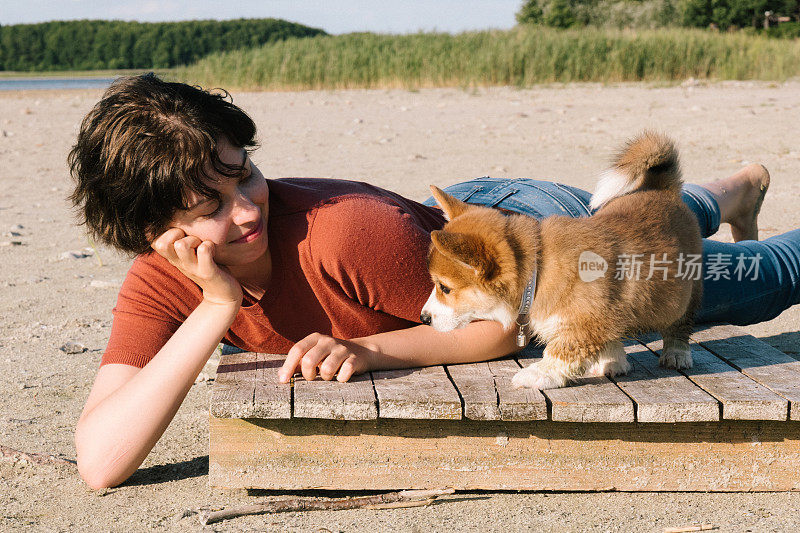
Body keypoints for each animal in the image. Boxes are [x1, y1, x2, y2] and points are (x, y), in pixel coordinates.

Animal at [422, 132, 704, 390]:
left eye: (445, 288)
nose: (424, 319)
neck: (537, 269)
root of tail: (662, 189)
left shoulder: (584, 323)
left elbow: (560, 351)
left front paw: (536, 375)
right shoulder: (602, 317)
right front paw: (612, 360)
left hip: (684, 294)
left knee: (680, 324)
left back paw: (677, 354)